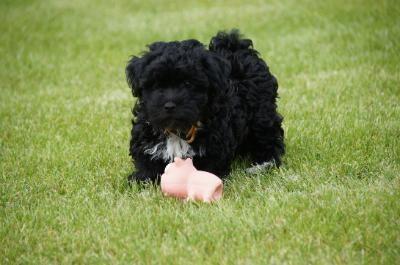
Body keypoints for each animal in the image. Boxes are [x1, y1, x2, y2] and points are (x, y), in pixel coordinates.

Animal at [126, 29, 284, 182]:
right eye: (157, 84)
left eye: (188, 83)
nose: (170, 105)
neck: (178, 130)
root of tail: (236, 48)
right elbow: (147, 163)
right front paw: (141, 178)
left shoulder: (215, 145)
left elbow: (209, 166)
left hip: (262, 115)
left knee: (268, 139)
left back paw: (263, 164)